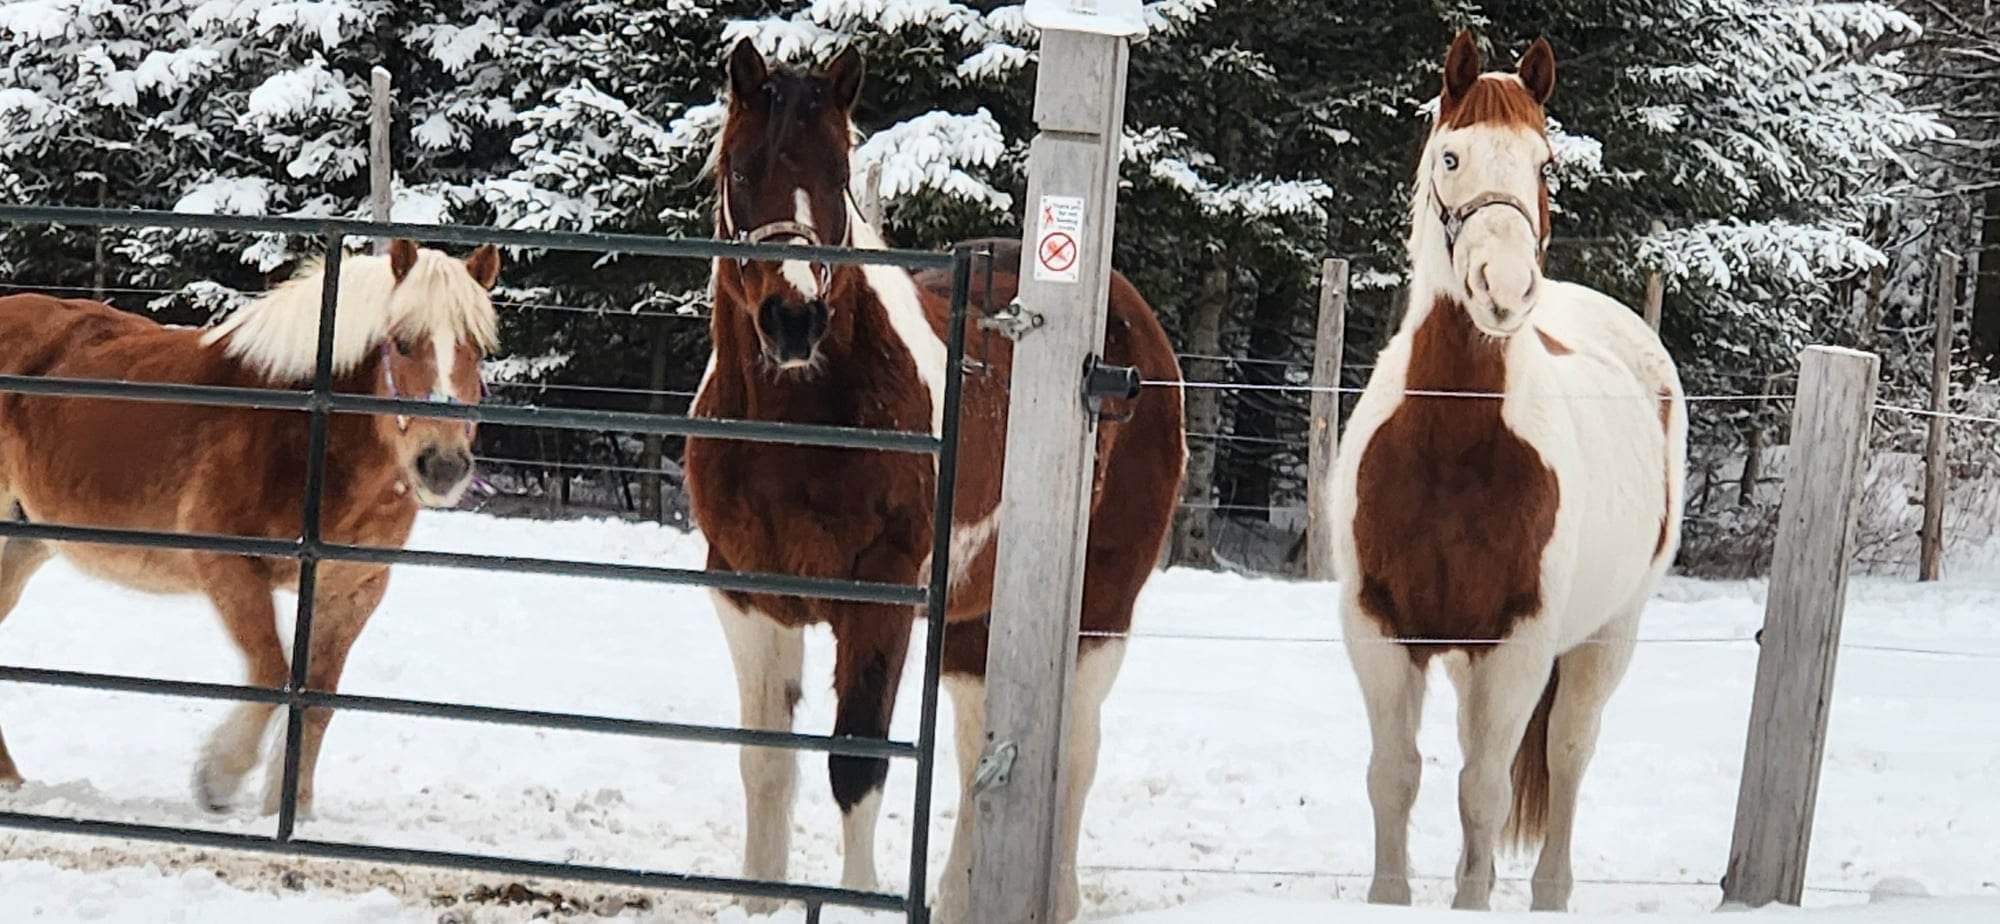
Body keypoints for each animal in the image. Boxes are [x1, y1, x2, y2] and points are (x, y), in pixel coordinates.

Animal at [0, 239, 500, 817]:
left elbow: (317, 698)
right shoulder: (228, 566)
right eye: (401, 343)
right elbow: (270, 670)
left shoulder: (354, 587)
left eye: (477, 349)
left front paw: (291, 808)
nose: (442, 465)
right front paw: (219, 778)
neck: (302, 429)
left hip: (24, 543)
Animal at [685, 41, 1184, 920]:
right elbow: (766, 761)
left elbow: (856, 763)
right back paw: (957, 895)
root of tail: (1132, 338)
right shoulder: (749, 596)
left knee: (1075, 750)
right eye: (741, 169)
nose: (794, 320)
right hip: (974, 618)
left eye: (839, 168)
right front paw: (760, 899)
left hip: (1099, 608)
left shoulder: (881, 603)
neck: (796, 423)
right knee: (977, 740)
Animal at [1328, 33, 1687, 911]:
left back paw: (1550, 893)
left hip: (1604, 638)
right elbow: (1395, 778)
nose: (1506, 288)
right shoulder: (1380, 627)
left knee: (1567, 753)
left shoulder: (1519, 642)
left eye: (1544, 162)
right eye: (1450, 155)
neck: (1450, 448)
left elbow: (1485, 792)